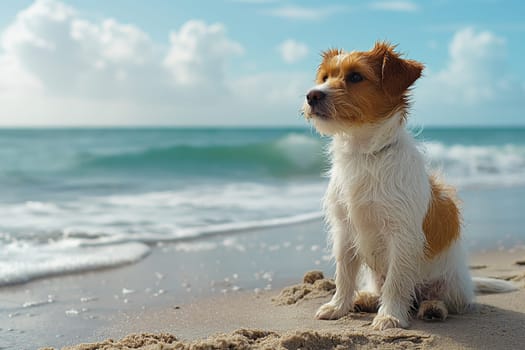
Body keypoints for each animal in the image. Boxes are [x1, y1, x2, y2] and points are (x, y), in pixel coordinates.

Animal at [300, 42, 512, 330]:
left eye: (355, 77)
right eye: (324, 78)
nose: (312, 95)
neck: (364, 155)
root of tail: (467, 283)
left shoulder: (401, 235)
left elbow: (397, 281)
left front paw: (390, 316)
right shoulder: (344, 230)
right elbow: (344, 274)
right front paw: (338, 307)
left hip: (448, 284)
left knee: (441, 300)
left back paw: (432, 308)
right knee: (378, 287)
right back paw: (366, 298)